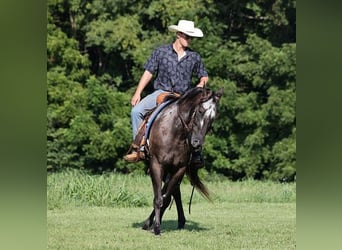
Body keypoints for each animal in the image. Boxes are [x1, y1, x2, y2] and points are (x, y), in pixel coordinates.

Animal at [141, 87, 223, 234]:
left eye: (213, 118)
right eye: (200, 111)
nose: (196, 143)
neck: (175, 132)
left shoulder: (180, 169)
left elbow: (166, 197)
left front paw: (156, 223)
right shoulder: (156, 165)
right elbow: (159, 198)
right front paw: (156, 227)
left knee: (173, 192)